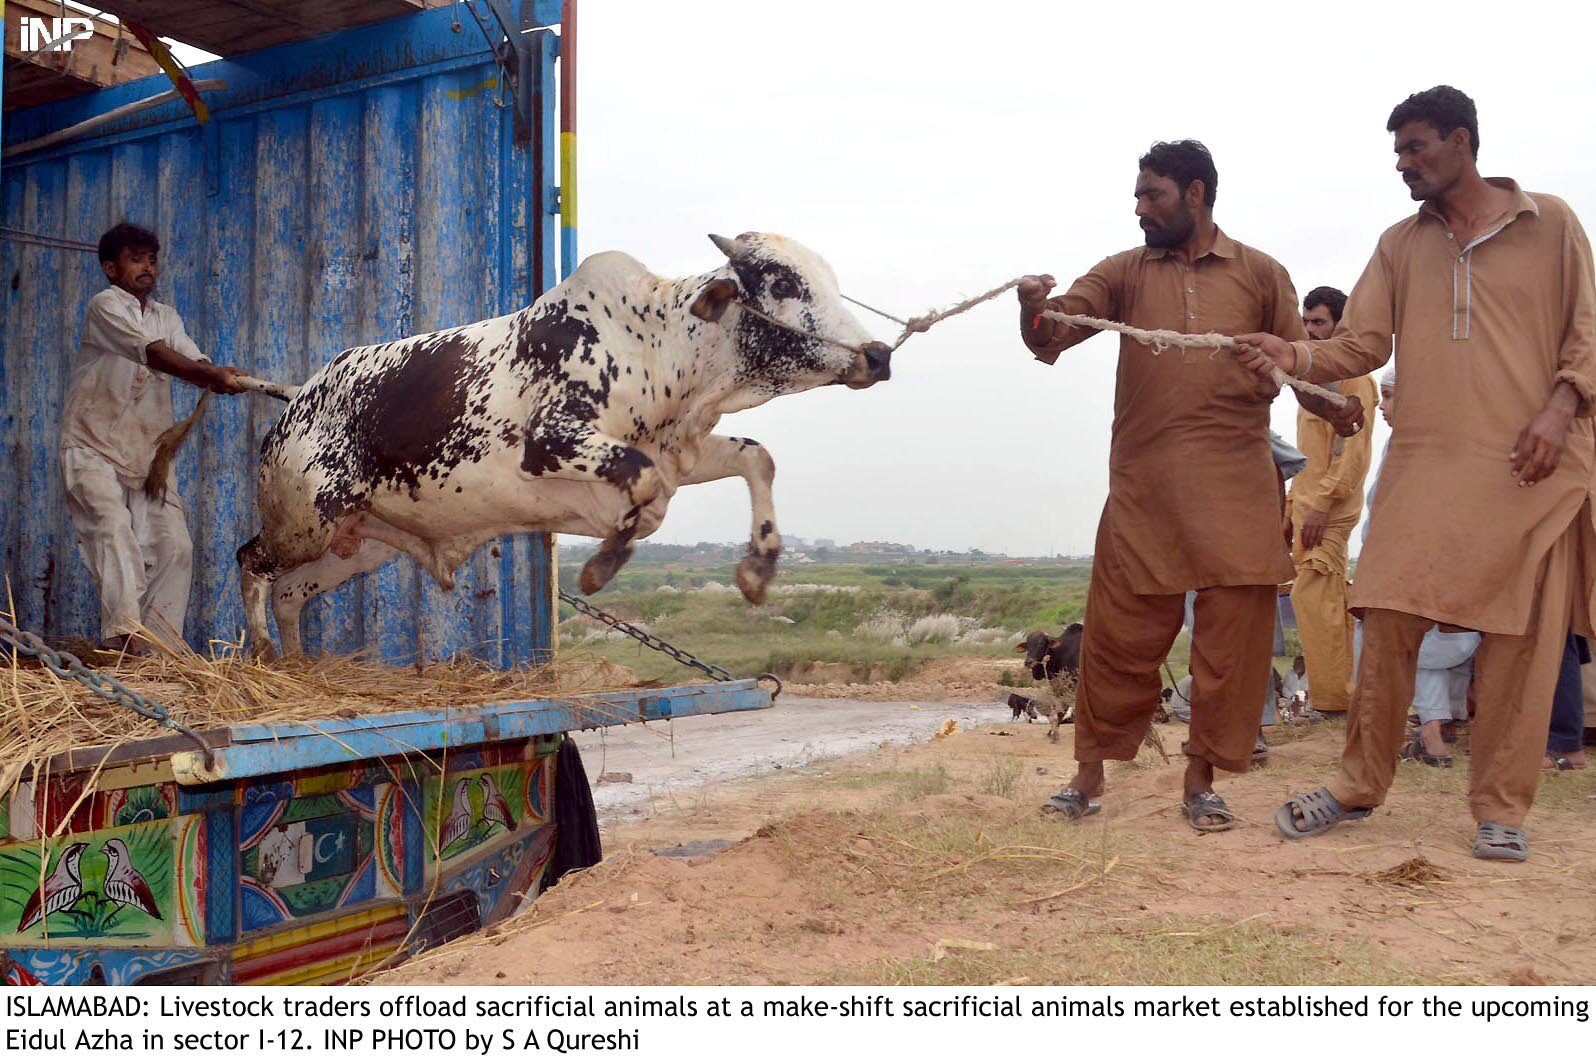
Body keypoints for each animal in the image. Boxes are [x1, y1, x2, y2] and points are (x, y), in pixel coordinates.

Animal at [236, 229, 893, 654]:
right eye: (782, 281)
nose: (878, 353)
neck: (659, 347)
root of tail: (297, 396)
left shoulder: (684, 454)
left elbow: (757, 458)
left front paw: (757, 569)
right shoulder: (553, 441)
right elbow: (638, 480)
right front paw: (603, 564)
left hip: (360, 543)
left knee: (290, 592)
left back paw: (302, 669)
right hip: (305, 521)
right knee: (250, 561)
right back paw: (265, 652)